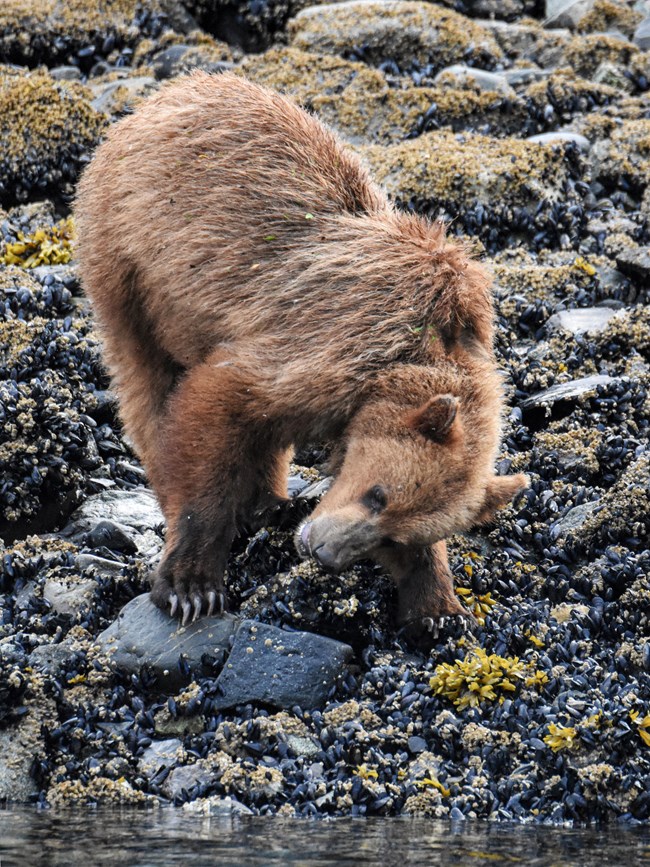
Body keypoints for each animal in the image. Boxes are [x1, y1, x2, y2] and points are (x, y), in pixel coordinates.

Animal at [74, 71, 527, 640]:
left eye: (394, 536)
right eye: (377, 494)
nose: (323, 550)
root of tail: (170, 92)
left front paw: (438, 608)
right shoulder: (329, 348)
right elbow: (215, 402)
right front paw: (191, 585)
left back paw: (268, 502)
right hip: (129, 256)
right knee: (147, 382)